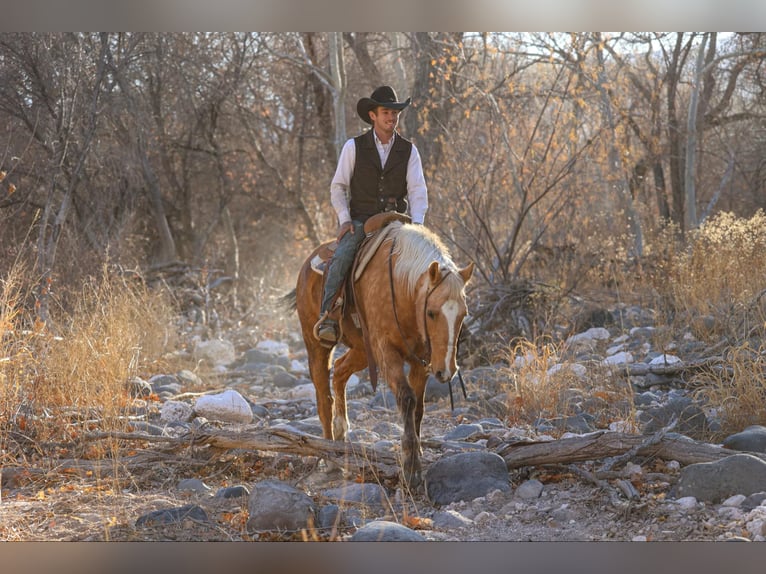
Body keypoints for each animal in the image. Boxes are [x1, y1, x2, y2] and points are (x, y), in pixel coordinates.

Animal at [284, 220, 474, 490]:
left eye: (463, 313)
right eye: (432, 312)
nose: (446, 370)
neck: (402, 287)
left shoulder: (421, 361)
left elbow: (418, 407)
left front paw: (417, 454)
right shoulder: (386, 352)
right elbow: (407, 399)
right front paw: (411, 468)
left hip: (363, 350)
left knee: (339, 372)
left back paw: (340, 436)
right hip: (317, 345)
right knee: (323, 396)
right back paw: (330, 457)